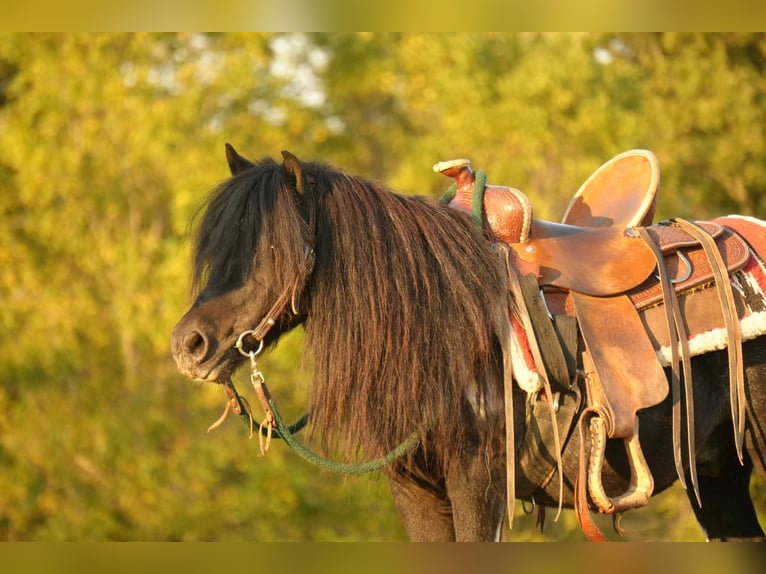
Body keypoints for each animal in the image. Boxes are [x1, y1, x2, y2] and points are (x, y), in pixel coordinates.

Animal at [171, 145, 766, 541]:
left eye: (272, 248)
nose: (188, 345)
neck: (441, 324)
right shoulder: (417, 491)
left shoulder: (478, 484)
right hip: (719, 472)